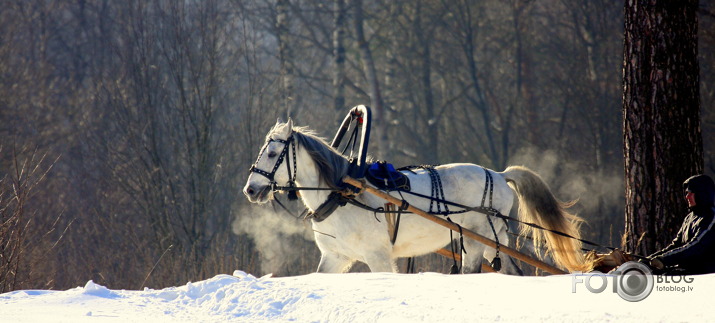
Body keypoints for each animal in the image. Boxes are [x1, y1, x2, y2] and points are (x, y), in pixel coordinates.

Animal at [243, 120, 592, 274]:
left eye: (272, 153)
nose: (251, 189)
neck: (343, 195)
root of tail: (498, 174)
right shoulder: (335, 257)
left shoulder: (378, 256)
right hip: (484, 239)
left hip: (482, 236)